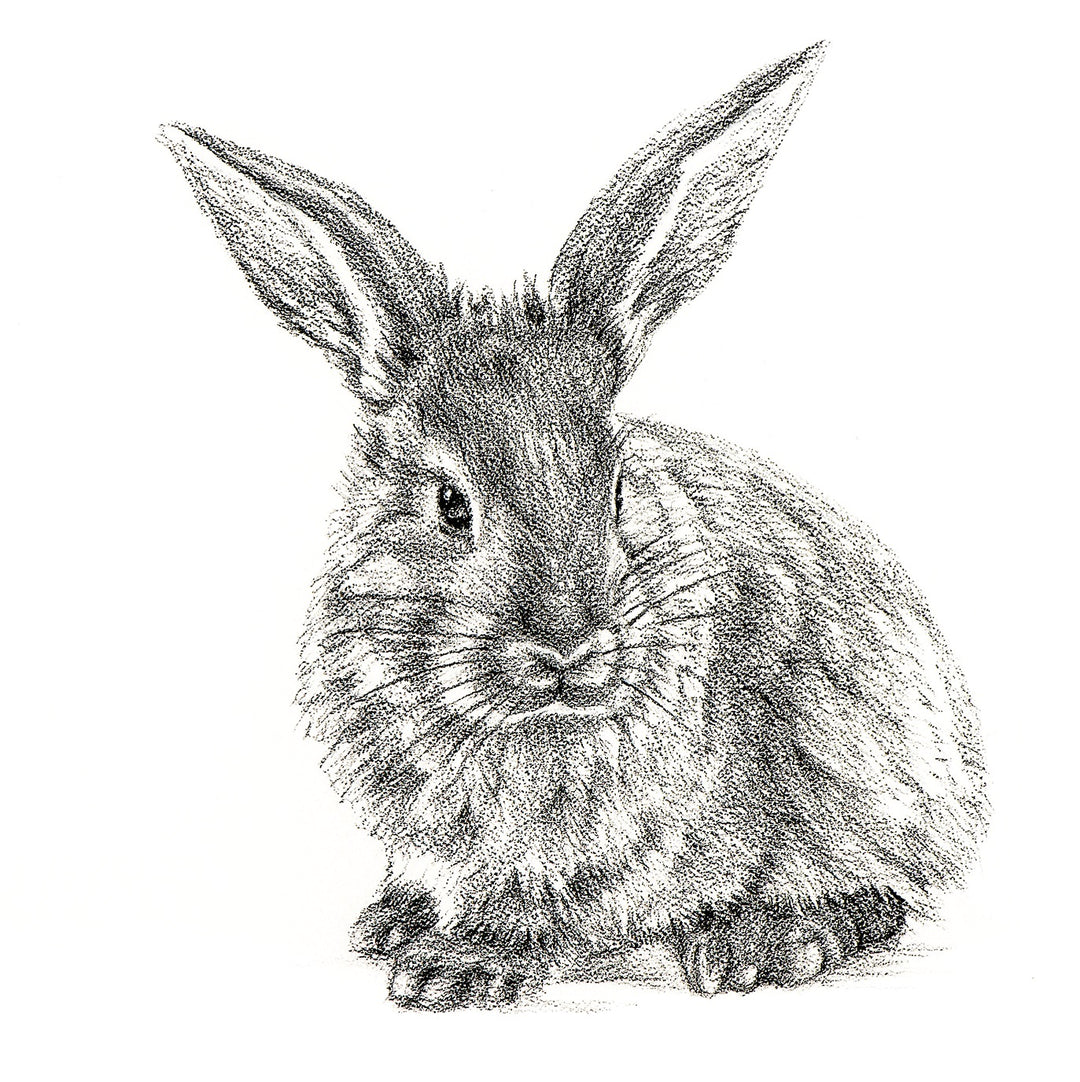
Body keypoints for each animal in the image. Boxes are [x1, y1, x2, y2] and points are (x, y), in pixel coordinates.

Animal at [160, 41, 987, 1010]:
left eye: (619, 486)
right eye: (450, 504)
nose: (568, 647)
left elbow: (544, 902)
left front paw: (455, 966)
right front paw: (400, 928)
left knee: (875, 890)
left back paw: (763, 942)